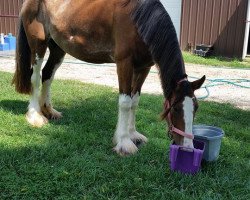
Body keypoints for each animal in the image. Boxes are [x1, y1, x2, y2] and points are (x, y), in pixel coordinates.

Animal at [11, 0, 205, 155]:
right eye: (175, 109)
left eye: (196, 107)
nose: (187, 147)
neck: (139, 20)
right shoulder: (124, 63)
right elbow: (125, 102)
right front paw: (124, 142)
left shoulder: (143, 68)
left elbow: (135, 102)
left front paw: (133, 135)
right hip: (38, 45)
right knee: (36, 78)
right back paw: (35, 116)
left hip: (58, 48)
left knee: (48, 75)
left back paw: (49, 111)